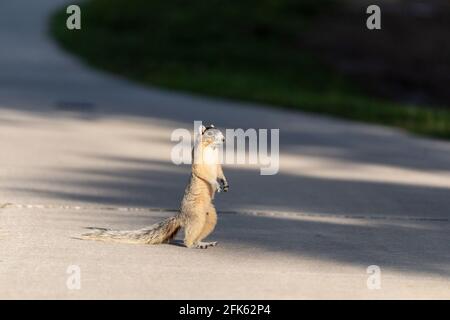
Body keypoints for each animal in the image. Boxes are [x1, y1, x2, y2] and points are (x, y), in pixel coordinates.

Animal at [80, 124, 229, 249]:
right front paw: (216, 184)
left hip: (211, 216)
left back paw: (203, 243)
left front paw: (225, 183)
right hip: (196, 214)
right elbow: (202, 172)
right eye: (210, 133)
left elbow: (219, 171)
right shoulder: (199, 160)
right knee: (190, 235)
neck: (211, 148)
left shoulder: (216, 163)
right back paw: (192, 244)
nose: (223, 139)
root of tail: (181, 215)